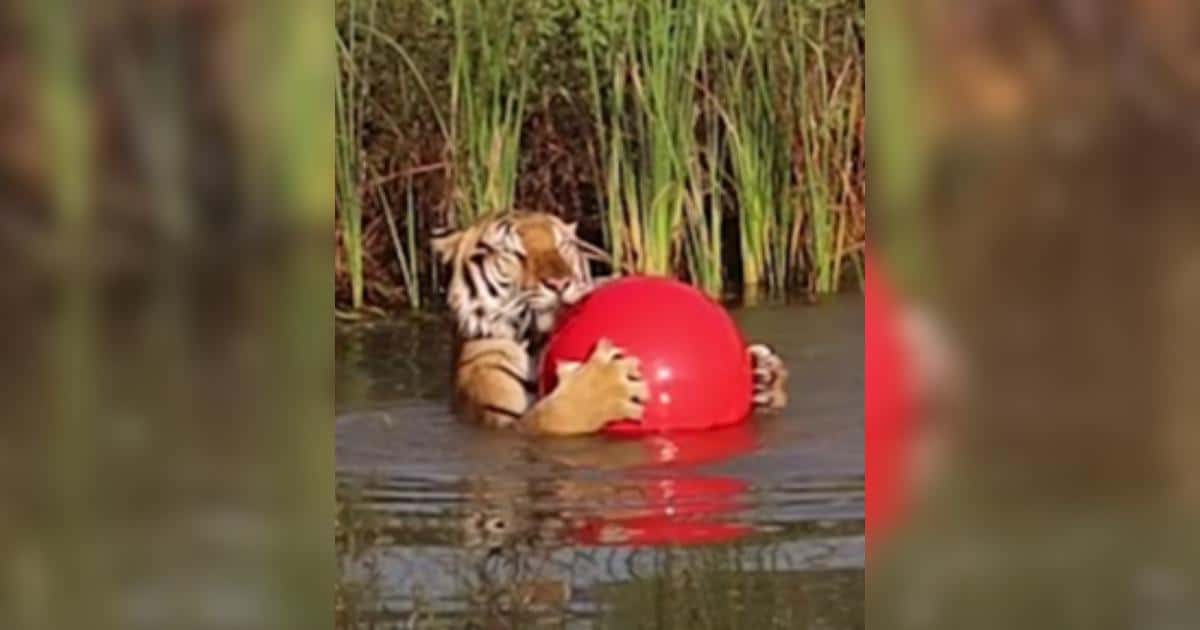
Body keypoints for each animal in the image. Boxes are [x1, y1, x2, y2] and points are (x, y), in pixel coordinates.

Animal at [432, 211, 788, 436]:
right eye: (515, 254)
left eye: (562, 246)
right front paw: (605, 384)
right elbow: (553, 415)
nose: (560, 283)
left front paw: (763, 373)